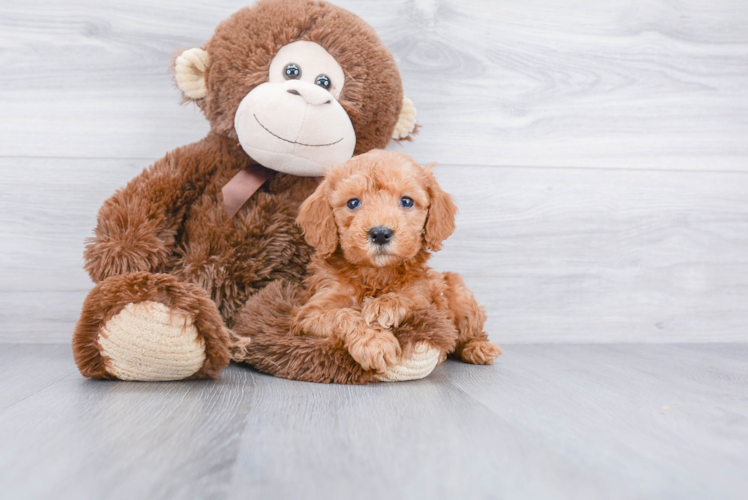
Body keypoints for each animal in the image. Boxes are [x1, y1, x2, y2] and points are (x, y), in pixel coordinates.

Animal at [296, 150, 500, 374]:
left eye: (407, 201)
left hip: (460, 295)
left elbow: (407, 299)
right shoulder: (308, 314)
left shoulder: (424, 300)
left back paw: (479, 347)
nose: (380, 233)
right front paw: (375, 342)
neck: (376, 273)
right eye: (353, 203)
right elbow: (342, 315)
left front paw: (382, 306)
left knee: (469, 332)